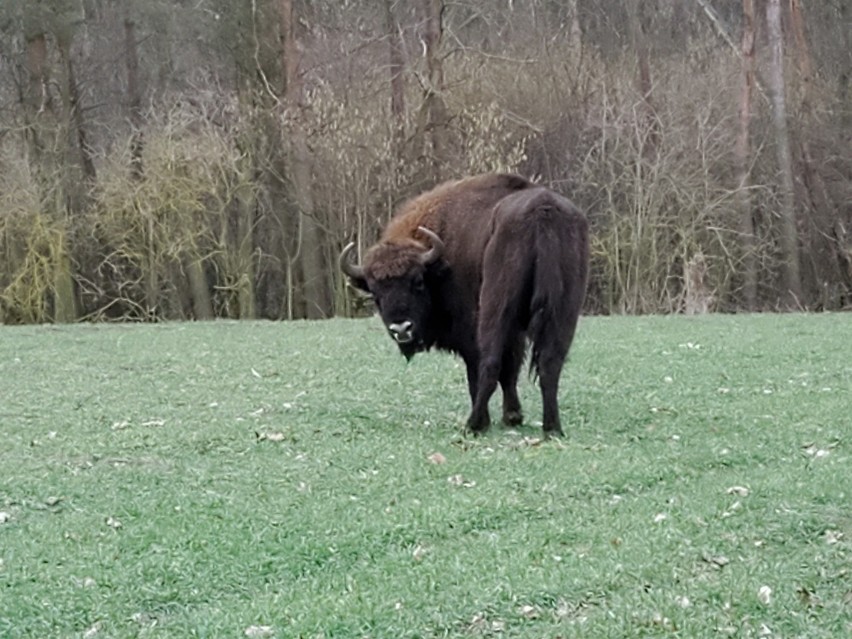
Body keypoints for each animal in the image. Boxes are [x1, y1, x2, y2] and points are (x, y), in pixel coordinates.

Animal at [338, 172, 584, 438]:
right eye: (375, 292)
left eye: (418, 282)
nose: (401, 328)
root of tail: (543, 212)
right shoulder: (517, 333)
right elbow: (511, 370)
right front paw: (513, 416)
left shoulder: (471, 333)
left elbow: (480, 372)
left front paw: (497, 418)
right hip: (564, 312)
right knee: (550, 362)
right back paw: (552, 428)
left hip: (495, 308)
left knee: (490, 363)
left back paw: (473, 424)